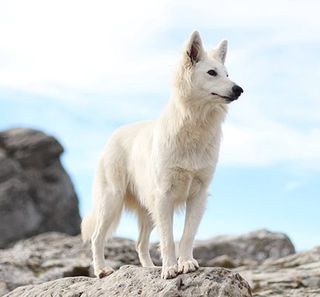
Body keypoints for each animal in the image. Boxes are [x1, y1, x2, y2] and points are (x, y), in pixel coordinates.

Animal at [81, 31, 244, 278]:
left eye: (227, 74)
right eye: (211, 73)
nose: (239, 89)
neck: (195, 125)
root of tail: (115, 133)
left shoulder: (198, 195)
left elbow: (187, 235)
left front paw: (186, 263)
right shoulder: (164, 196)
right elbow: (168, 239)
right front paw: (169, 269)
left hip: (148, 209)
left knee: (140, 244)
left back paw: (149, 268)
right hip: (112, 200)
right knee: (97, 237)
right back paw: (102, 270)